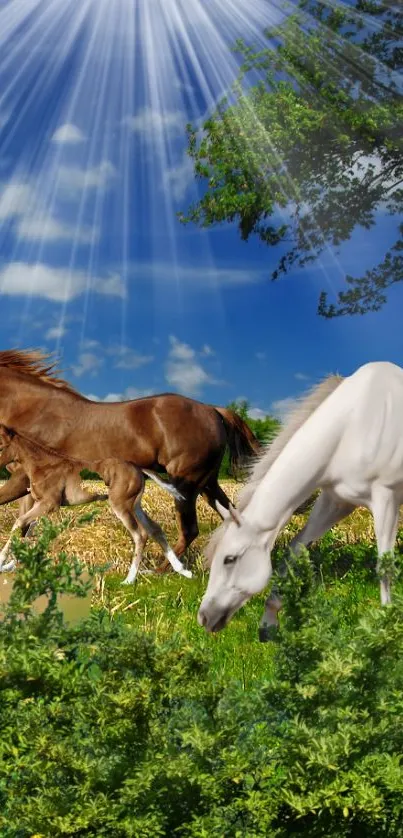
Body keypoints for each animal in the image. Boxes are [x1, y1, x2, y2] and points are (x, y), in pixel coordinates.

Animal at [0, 352, 260, 568]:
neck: (32, 410)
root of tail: (213, 410)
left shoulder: (23, 478)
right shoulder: (30, 485)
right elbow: (23, 524)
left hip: (186, 483)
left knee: (189, 530)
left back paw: (159, 572)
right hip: (207, 483)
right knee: (231, 517)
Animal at [199, 360, 403, 636]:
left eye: (229, 559)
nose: (204, 617)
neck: (356, 424)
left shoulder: (386, 499)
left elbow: (385, 567)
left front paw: (386, 628)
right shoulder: (335, 502)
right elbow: (294, 550)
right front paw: (269, 621)